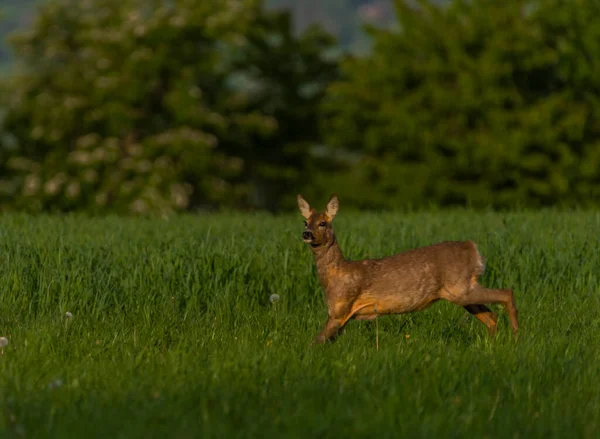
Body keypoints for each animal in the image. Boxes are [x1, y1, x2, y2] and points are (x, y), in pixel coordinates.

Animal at [298, 194, 516, 346]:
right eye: (305, 221)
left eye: (323, 222)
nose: (306, 233)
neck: (336, 274)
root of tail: (474, 249)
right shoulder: (342, 317)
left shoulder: (339, 311)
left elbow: (314, 344)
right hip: (462, 292)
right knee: (492, 317)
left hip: (461, 288)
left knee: (506, 293)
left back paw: (516, 338)